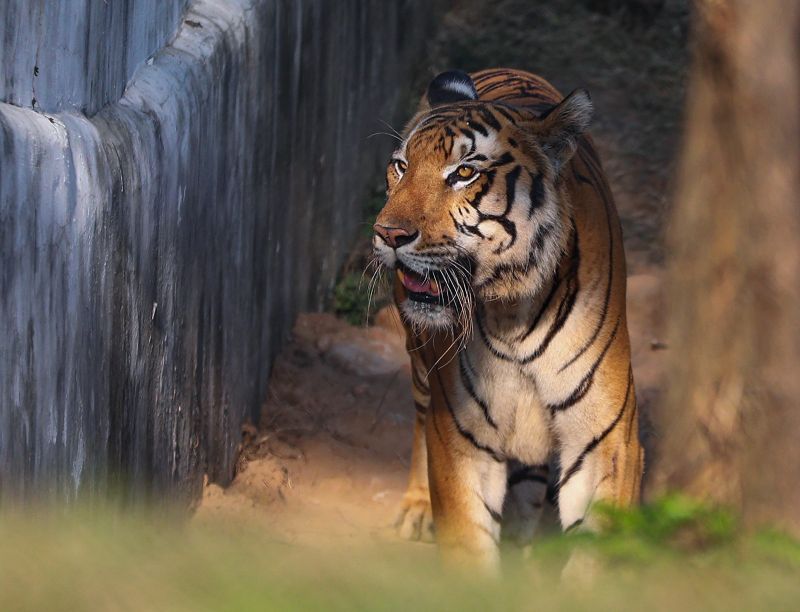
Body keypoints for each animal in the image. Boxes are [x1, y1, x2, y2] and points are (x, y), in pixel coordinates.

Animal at [372, 68, 644, 570]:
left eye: (464, 172)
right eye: (400, 166)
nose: (388, 233)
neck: (511, 312)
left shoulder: (607, 441)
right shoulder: (459, 437)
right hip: (419, 359)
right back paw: (418, 508)